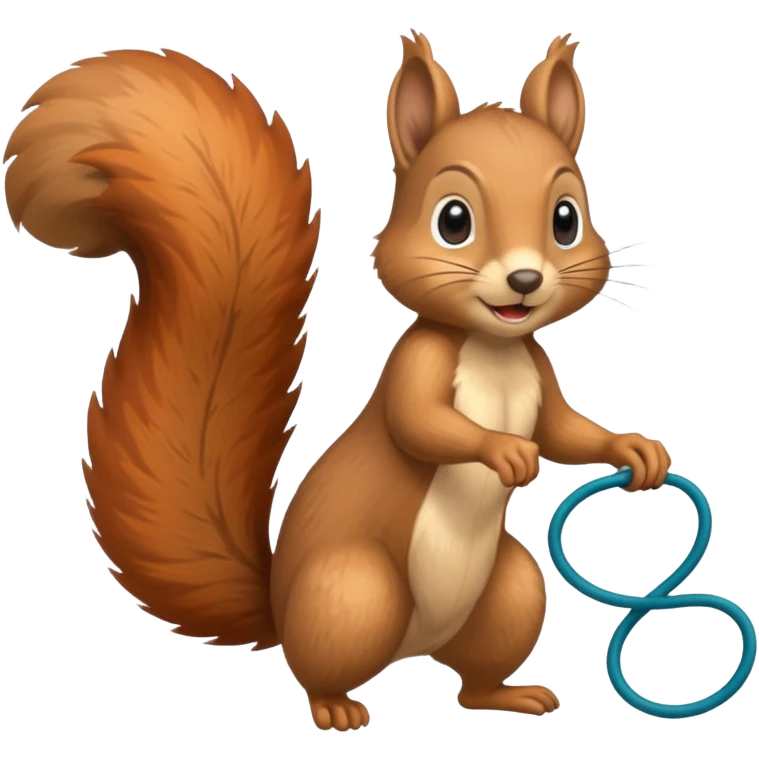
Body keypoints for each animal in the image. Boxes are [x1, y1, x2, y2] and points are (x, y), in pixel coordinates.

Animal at [3, 30, 671, 732]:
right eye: (452, 221)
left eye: (567, 219)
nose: (524, 281)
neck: (493, 346)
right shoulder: (417, 362)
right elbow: (421, 424)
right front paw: (504, 450)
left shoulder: (538, 372)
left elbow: (567, 431)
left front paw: (634, 449)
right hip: (354, 590)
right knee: (321, 666)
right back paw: (335, 708)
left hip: (509, 593)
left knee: (474, 681)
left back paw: (510, 696)